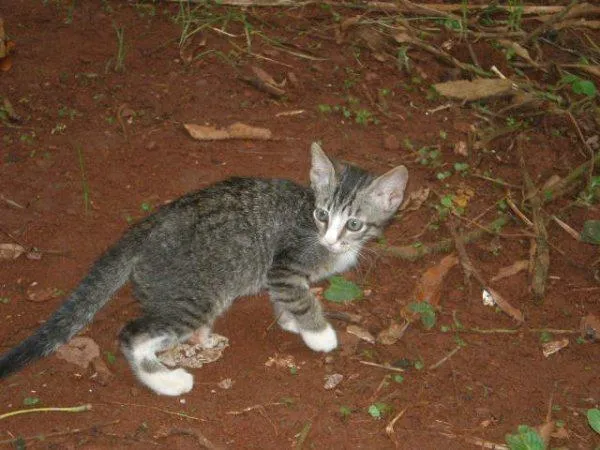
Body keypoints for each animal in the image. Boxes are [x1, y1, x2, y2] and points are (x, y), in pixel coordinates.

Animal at [0, 142, 408, 396]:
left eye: (353, 224)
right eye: (322, 215)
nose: (332, 238)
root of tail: (146, 226)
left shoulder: (283, 276)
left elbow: (287, 298)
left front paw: (290, 321)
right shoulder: (286, 264)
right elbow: (299, 297)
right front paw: (318, 333)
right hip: (195, 297)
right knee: (132, 334)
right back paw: (167, 382)